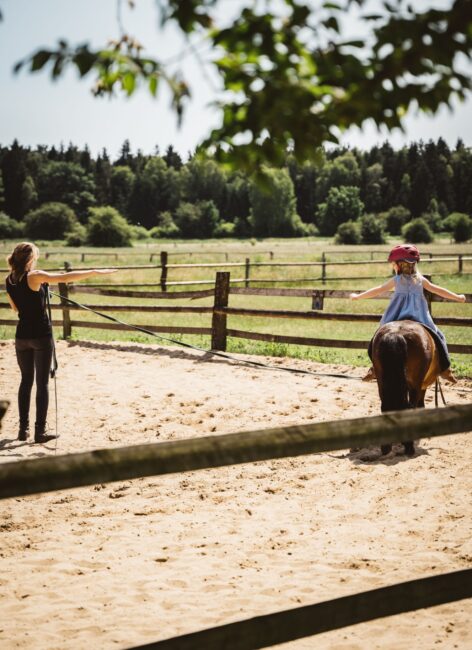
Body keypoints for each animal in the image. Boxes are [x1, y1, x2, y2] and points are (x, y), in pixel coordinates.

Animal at [370, 320, 440, 456]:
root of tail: (396, 334)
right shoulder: (420, 385)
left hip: (382, 382)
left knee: (386, 406)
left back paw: (387, 446)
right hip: (415, 384)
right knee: (410, 408)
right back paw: (409, 446)